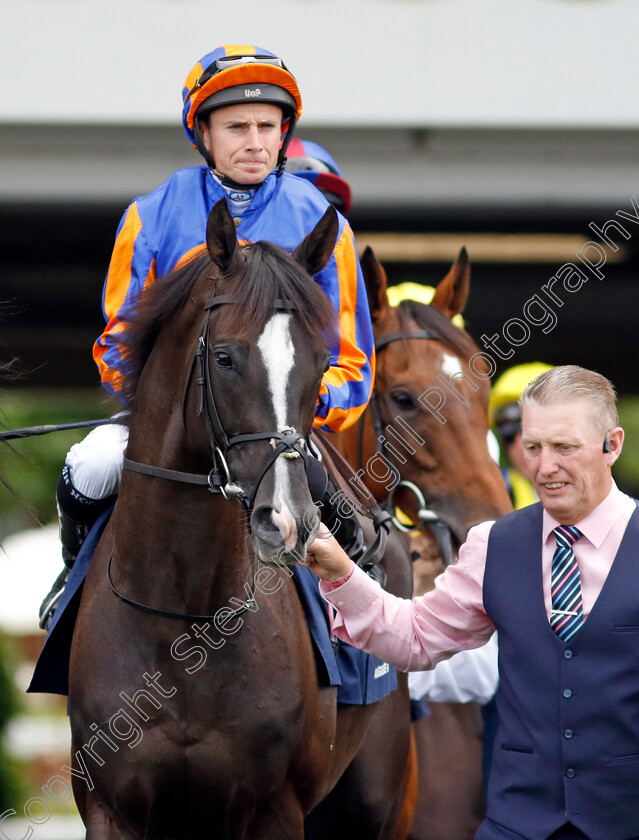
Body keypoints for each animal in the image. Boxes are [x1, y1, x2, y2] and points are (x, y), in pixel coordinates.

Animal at [67, 202, 412, 840]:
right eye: (224, 357)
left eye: (323, 363)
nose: (289, 519)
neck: (185, 623)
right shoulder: (110, 808)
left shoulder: (274, 810)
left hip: (374, 800)